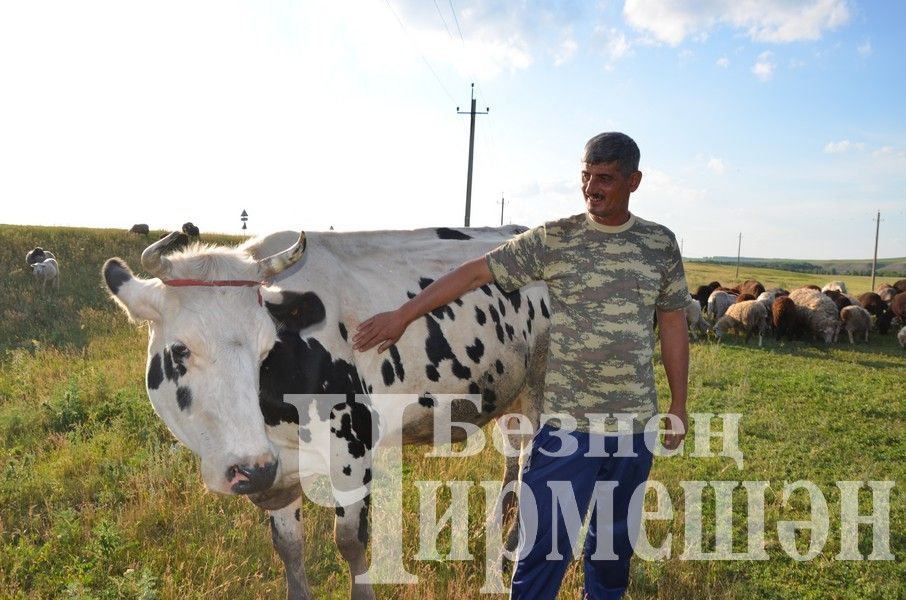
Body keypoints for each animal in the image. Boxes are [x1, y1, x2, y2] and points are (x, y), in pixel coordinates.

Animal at [102, 226, 548, 600]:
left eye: (268, 347)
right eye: (179, 350)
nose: (249, 469)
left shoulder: (352, 448)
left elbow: (349, 539)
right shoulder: (278, 469)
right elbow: (288, 546)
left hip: (541, 396)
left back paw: (509, 552)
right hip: (511, 397)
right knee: (513, 460)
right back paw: (497, 532)